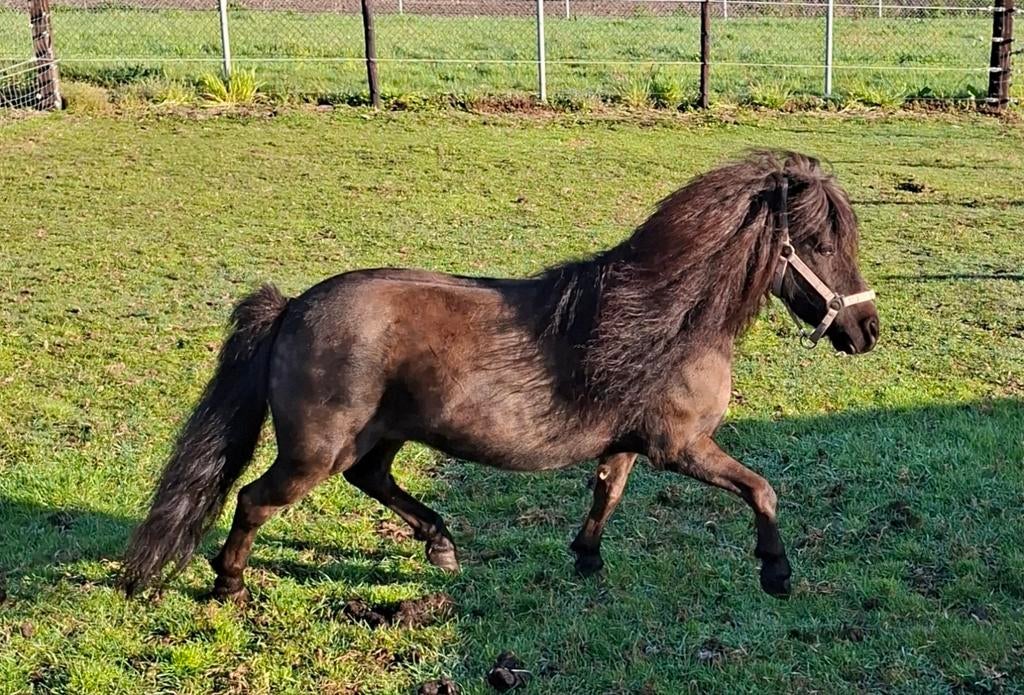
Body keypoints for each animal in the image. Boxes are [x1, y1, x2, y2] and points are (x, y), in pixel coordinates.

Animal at [121, 151, 879, 603]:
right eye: (819, 242)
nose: (866, 330)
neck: (664, 320)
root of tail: (292, 307)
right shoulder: (682, 447)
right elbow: (761, 489)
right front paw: (776, 572)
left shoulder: (628, 443)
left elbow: (606, 494)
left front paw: (585, 559)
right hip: (313, 452)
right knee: (254, 500)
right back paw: (228, 586)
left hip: (379, 437)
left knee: (371, 479)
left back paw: (441, 544)